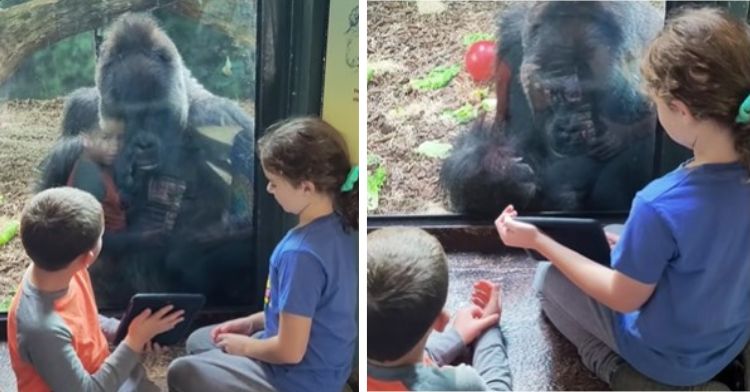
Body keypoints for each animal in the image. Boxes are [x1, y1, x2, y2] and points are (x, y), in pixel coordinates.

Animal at [37, 13, 256, 310]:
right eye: (128, 115)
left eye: (156, 113)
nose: (143, 144)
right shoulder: (81, 107)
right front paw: (88, 149)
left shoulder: (218, 119)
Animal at [440, 1, 664, 216]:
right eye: (550, 92)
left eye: (589, 93)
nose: (568, 128)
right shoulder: (511, 43)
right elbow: (506, 136)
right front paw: (493, 174)